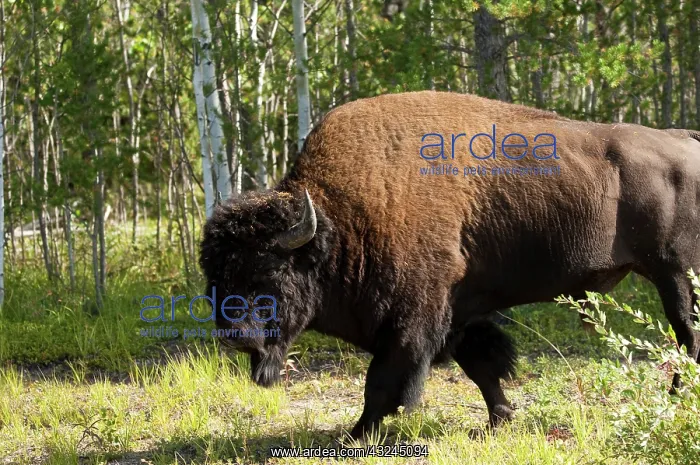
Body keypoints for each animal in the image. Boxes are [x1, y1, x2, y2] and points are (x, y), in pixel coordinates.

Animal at [199, 91, 700, 438]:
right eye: (213, 276)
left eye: (267, 272)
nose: (234, 337)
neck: (338, 218)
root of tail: (684, 140)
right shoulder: (458, 310)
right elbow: (481, 364)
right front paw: (501, 420)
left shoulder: (413, 320)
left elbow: (383, 383)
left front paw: (355, 436)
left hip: (674, 273)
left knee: (687, 336)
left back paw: (678, 397)